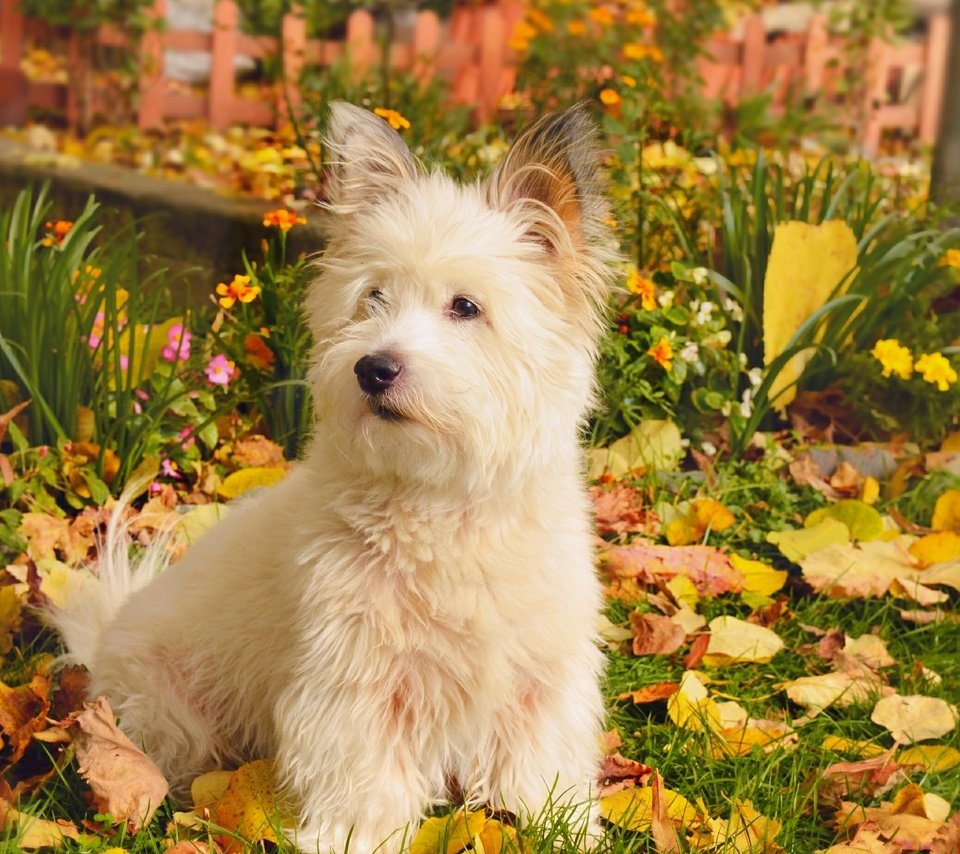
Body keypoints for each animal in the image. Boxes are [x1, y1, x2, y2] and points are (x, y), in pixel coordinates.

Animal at [54, 102, 616, 854]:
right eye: (372, 297)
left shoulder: (540, 676)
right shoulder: (352, 684)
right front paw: (349, 839)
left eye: (466, 307)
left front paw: (562, 828)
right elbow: (364, 780)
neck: (442, 500)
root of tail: (103, 641)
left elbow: (538, 765)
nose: (372, 368)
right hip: (170, 714)